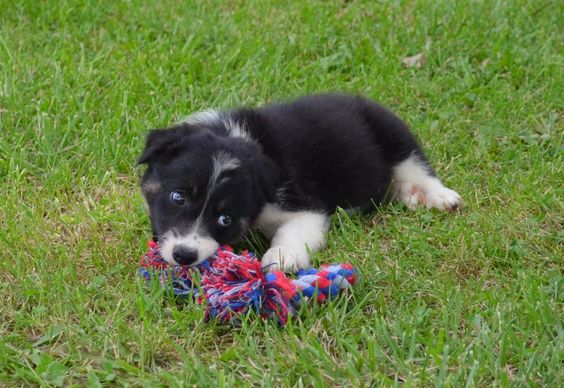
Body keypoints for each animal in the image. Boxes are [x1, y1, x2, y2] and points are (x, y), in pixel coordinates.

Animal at [139, 93, 460, 272]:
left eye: (224, 218)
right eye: (178, 197)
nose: (184, 256)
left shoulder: (306, 207)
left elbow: (292, 232)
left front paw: (282, 259)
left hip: (396, 137)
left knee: (419, 168)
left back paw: (441, 198)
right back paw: (409, 195)